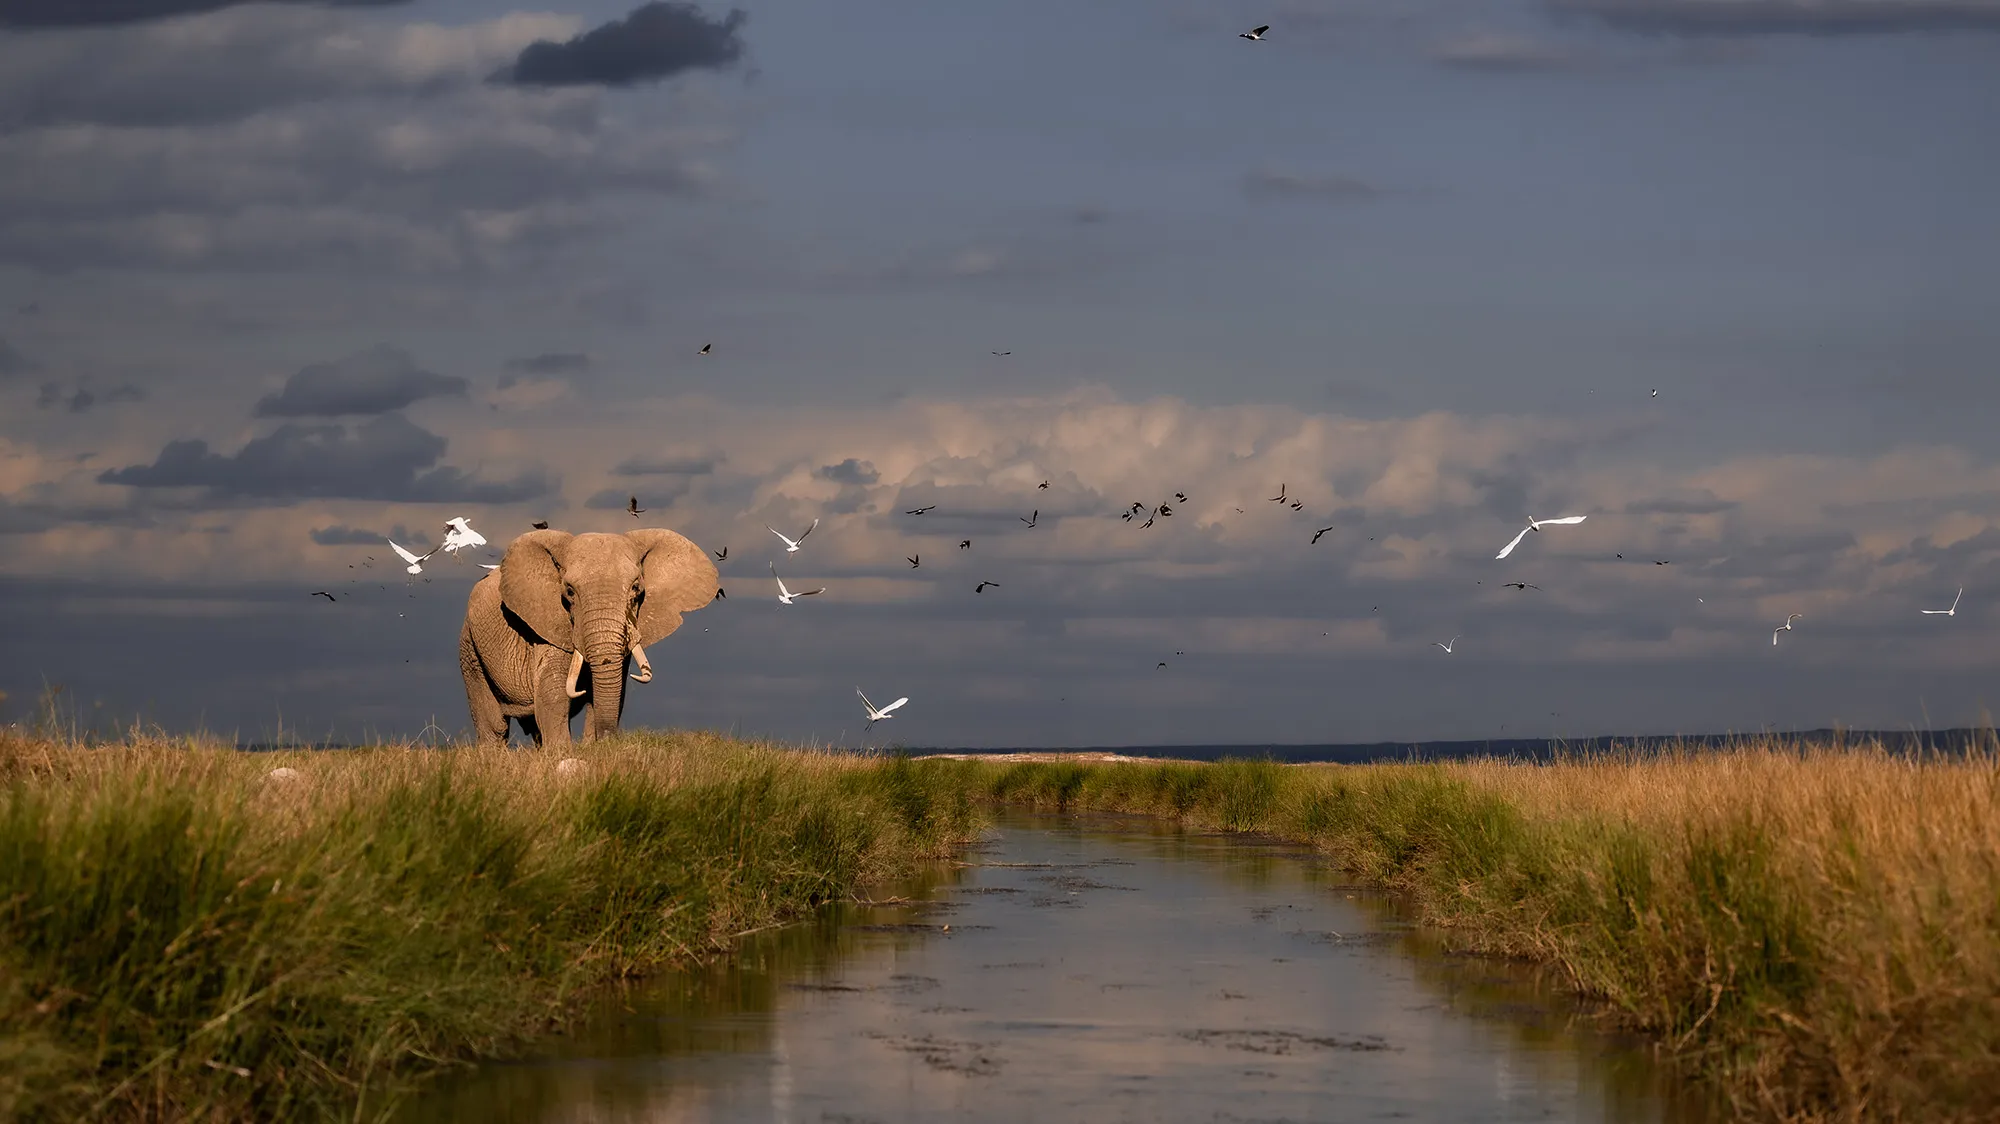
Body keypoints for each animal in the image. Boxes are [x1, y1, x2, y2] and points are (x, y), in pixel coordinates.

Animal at [460, 528, 718, 749]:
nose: (606, 741)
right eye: (569, 592)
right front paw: (563, 752)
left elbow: (614, 689)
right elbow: (553, 688)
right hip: (469, 648)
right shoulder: (549, 625)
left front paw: (588, 748)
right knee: (494, 725)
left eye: (636, 589)